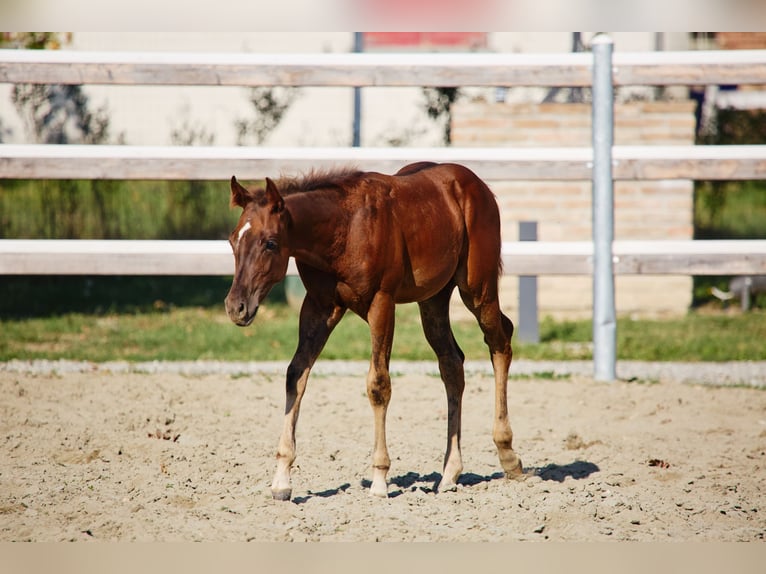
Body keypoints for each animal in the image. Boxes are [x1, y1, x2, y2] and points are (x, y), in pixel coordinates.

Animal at [224, 162, 523, 501]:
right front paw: (282, 479)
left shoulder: (382, 303)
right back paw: (449, 473)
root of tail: (478, 186)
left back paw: (508, 456)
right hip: (433, 299)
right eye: (233, 241)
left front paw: (380, 479)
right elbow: (295, 375)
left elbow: (378, 384)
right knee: (451, 363)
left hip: (477, 289)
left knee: (500, 341)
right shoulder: (319, 306)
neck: (344, 228)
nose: (236, 307)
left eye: (271, 242)